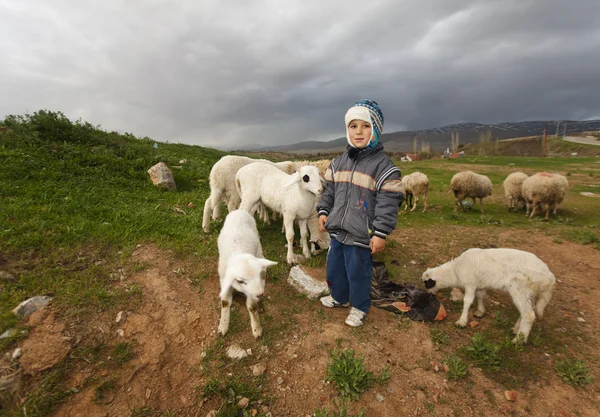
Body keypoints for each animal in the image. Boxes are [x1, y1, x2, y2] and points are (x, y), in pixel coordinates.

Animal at [217, 210, 278, 340]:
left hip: (258, 246)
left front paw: (257, 329)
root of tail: (240, 210)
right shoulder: (224, 279)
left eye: (258, 276)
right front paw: (223, 326)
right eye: (240, 281)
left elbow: (252, 307)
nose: (260, 294)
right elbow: (225, 302)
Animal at [420, 247, 556, 342]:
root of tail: (549, 278)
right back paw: (517, 329)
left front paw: (462, 321)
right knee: (528, 311)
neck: (456, 270)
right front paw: (480, 312)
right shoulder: (479, 285)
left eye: (427, 283)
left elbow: (467, 301)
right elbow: (480, 296)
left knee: (529, 315)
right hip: (530, 293)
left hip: (520, 289)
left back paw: (518, 340)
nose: (428, 294)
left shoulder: (470, 284)